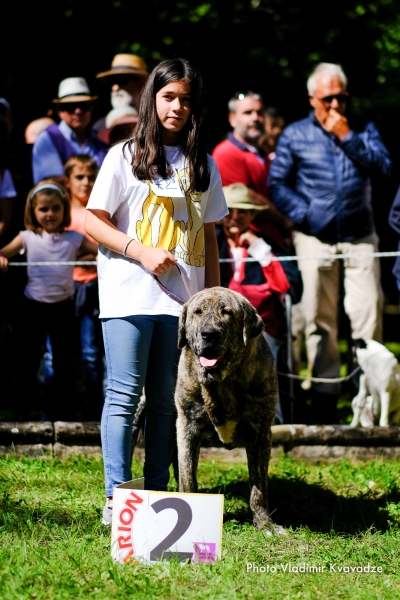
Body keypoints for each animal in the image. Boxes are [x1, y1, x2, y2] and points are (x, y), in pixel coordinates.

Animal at [175, 286, 284, 536]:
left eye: (227, 313)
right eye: (198, 312)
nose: (208, 334)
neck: (221, 383)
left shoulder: (261, 433)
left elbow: (258, 488)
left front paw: (264, 523)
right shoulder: (187, 427)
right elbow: (188, 477)